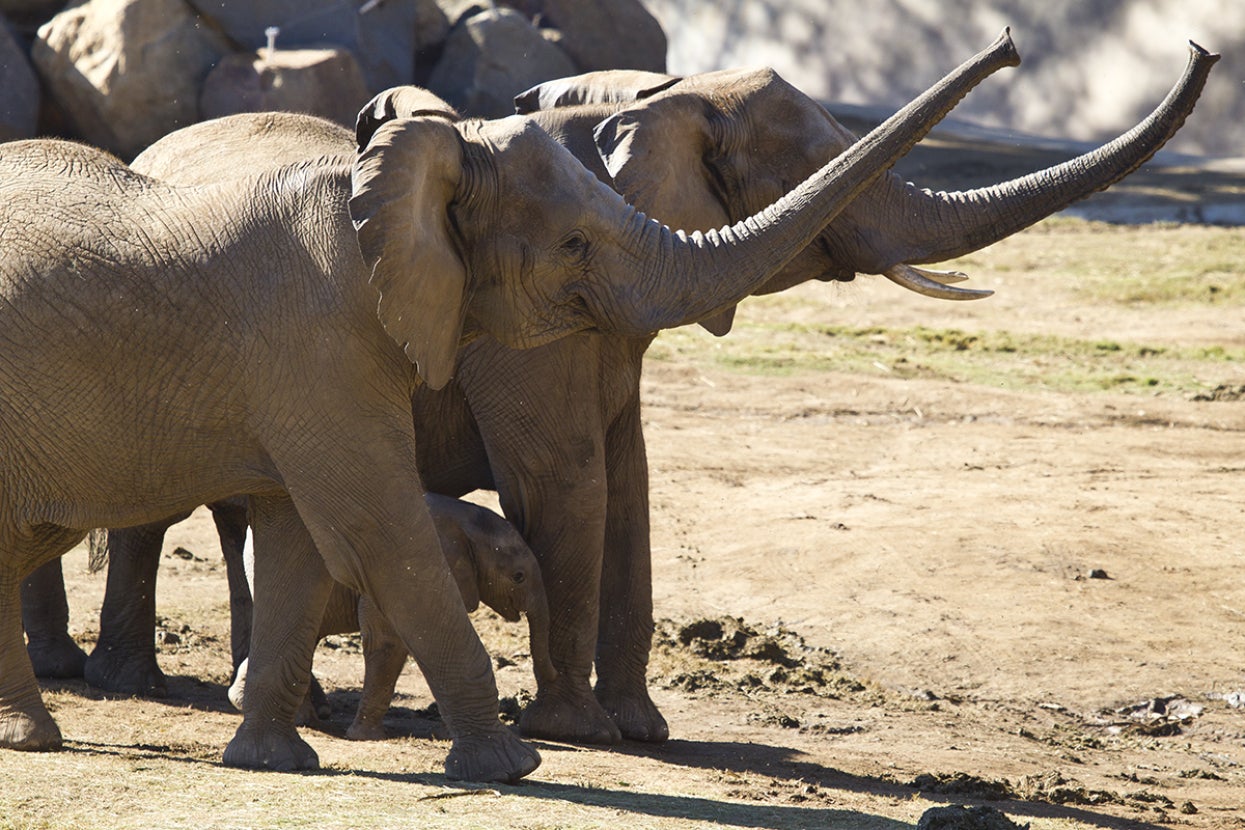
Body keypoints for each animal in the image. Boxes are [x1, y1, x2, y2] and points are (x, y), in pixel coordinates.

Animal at [19, 35, 1218, 753]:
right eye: (816, 160)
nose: (1201, 45)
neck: (633, 97)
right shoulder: (512, 331)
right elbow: (568, 477)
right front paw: (577, 731)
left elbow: (630, 480)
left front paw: (639, 731)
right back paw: (111, 681)